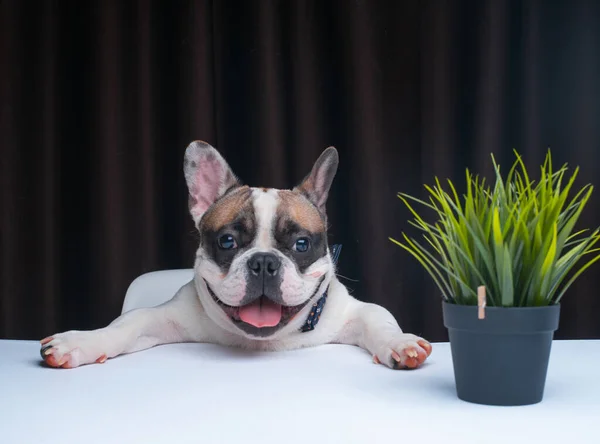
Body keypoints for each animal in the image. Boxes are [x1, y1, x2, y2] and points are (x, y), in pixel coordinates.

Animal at [38, 141, 432, 368]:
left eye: (301, 245)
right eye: (227, 242)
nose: (264, 262)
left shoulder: (353, 312)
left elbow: (380, 322)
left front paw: (400, 344)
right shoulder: (161, 318)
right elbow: (125, 324)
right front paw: (81, 342)